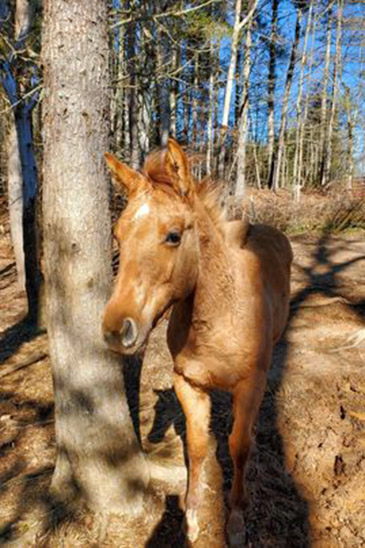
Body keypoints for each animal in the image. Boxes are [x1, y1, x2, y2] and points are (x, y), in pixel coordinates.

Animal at [102, 140, 292, 544]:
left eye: (174, 235)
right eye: (118, 234)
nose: (116, 330)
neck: (220, 315)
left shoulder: (250, 384)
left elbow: (238, 447)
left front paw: (235, 520)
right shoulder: (187, 383)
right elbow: (198, 444)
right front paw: (191, 516)